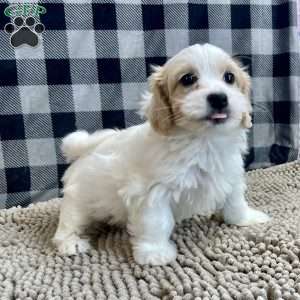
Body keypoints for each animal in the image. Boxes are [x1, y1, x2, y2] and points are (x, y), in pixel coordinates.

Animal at [53, 42, 270, 264]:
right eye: (188, 79)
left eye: (229, 77)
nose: (219, 98)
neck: (204, 140)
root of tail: (84, 151)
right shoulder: (152, 192)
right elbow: (157, 222)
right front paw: (155, 253)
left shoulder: (231, 174)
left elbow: (235, 202)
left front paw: (245, 219)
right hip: (78, 201)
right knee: (68, 224)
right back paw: (71, 243)